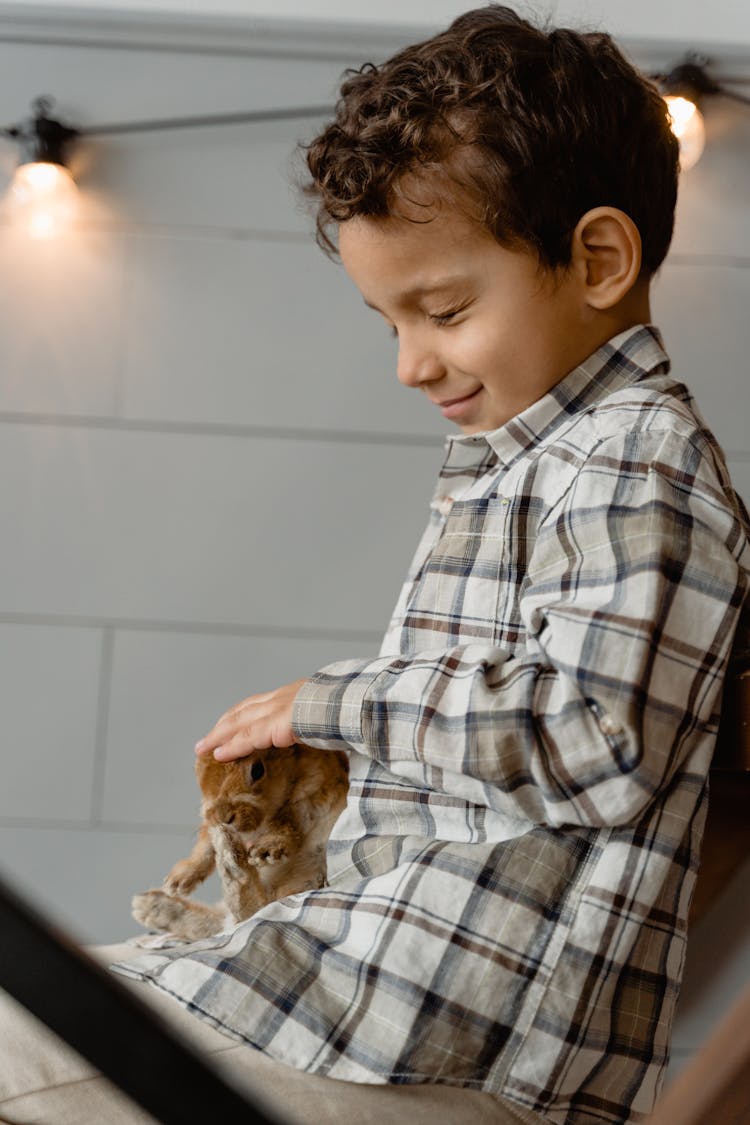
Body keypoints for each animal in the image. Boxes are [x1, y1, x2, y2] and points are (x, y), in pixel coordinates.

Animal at [132, 742, 348, 945]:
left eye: (257, 770)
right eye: (198, 774)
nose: (222, 817)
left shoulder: (308, 796)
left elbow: (286, 824)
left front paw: (265, 852)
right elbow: (204, 846)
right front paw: (177, 882)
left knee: (251, 911)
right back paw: (149, 905)